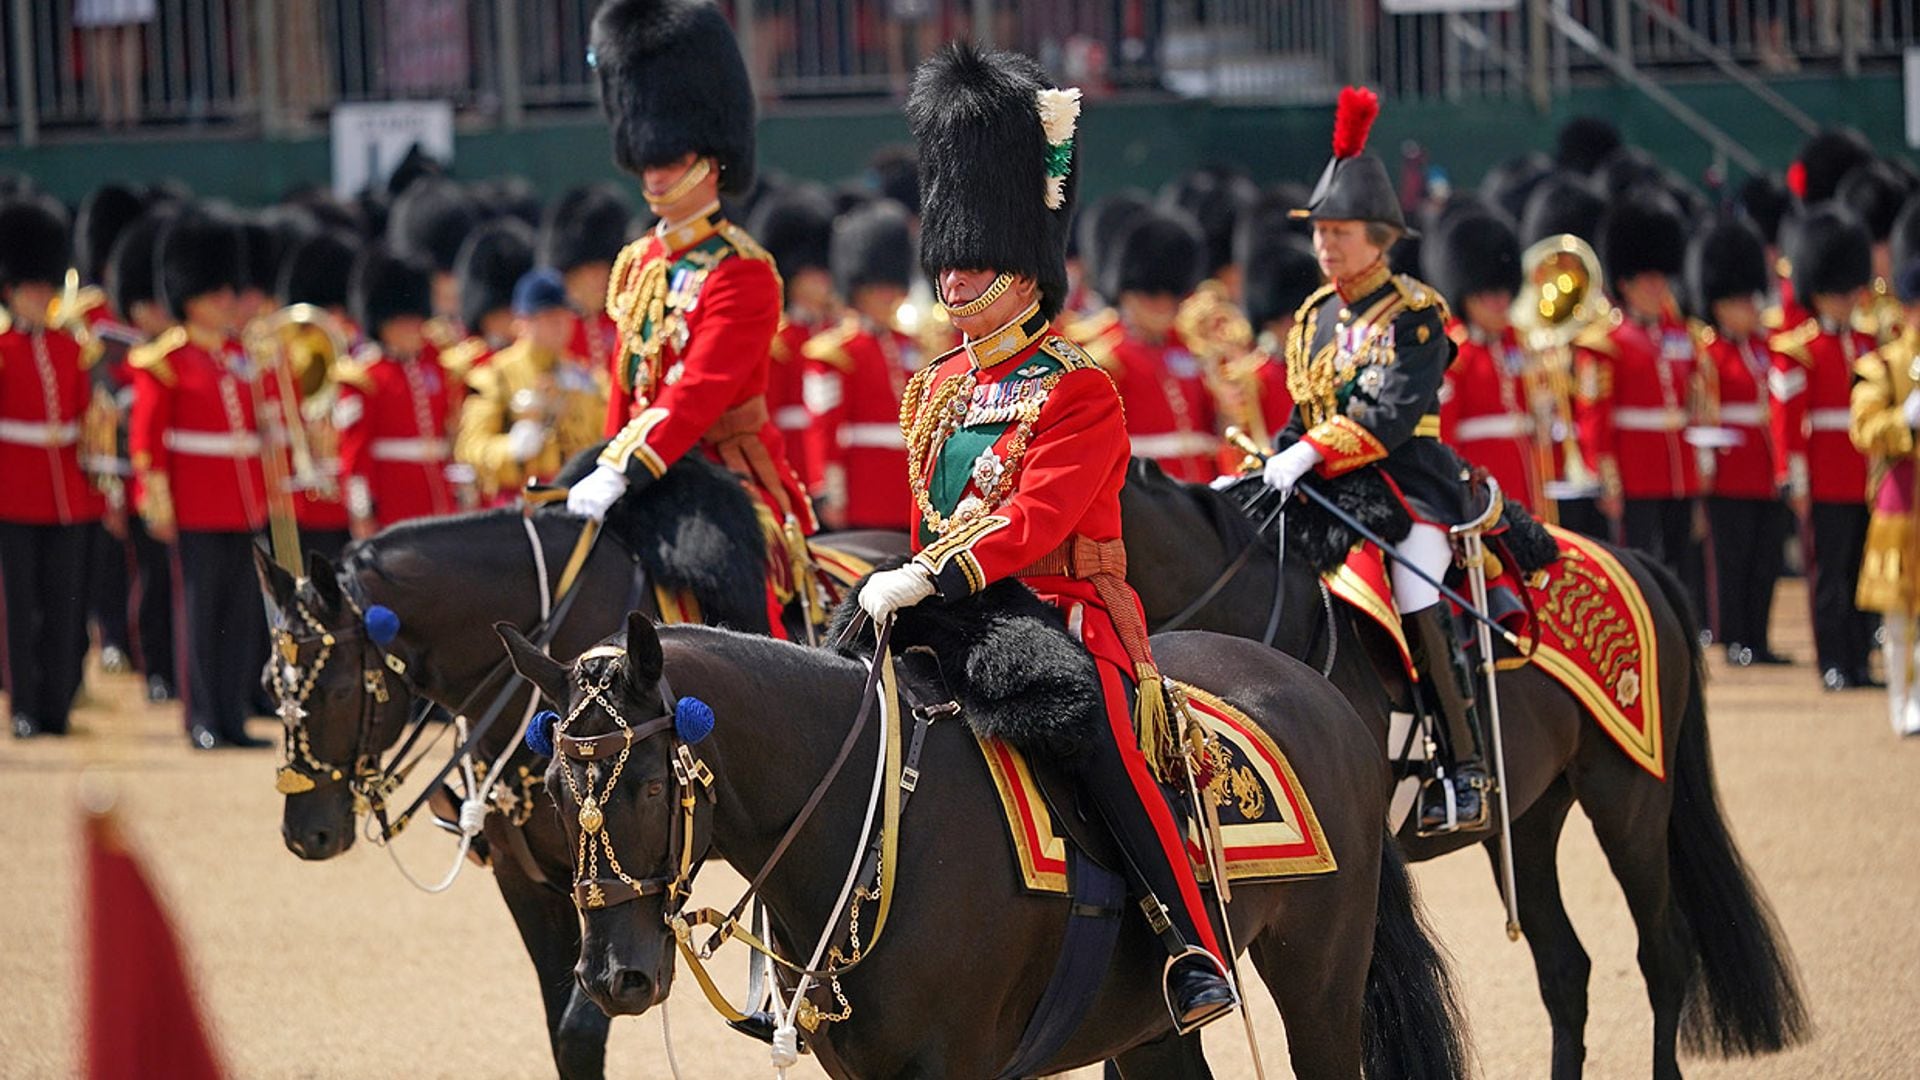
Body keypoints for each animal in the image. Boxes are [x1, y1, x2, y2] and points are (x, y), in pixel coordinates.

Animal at [257, 453, 906, 1076]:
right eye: (270, 683)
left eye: (339, 689)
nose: (305, 834)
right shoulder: (528, 881)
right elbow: (561, 1034)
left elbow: (578, 1031)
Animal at [499, 614, 1466, 1076]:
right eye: (559, 793)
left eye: (648, 786)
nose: (613, 978)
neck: (872, 826)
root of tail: (1319, 693)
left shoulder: (953, 1065)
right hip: (1149, 1028)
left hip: (1321, 985)